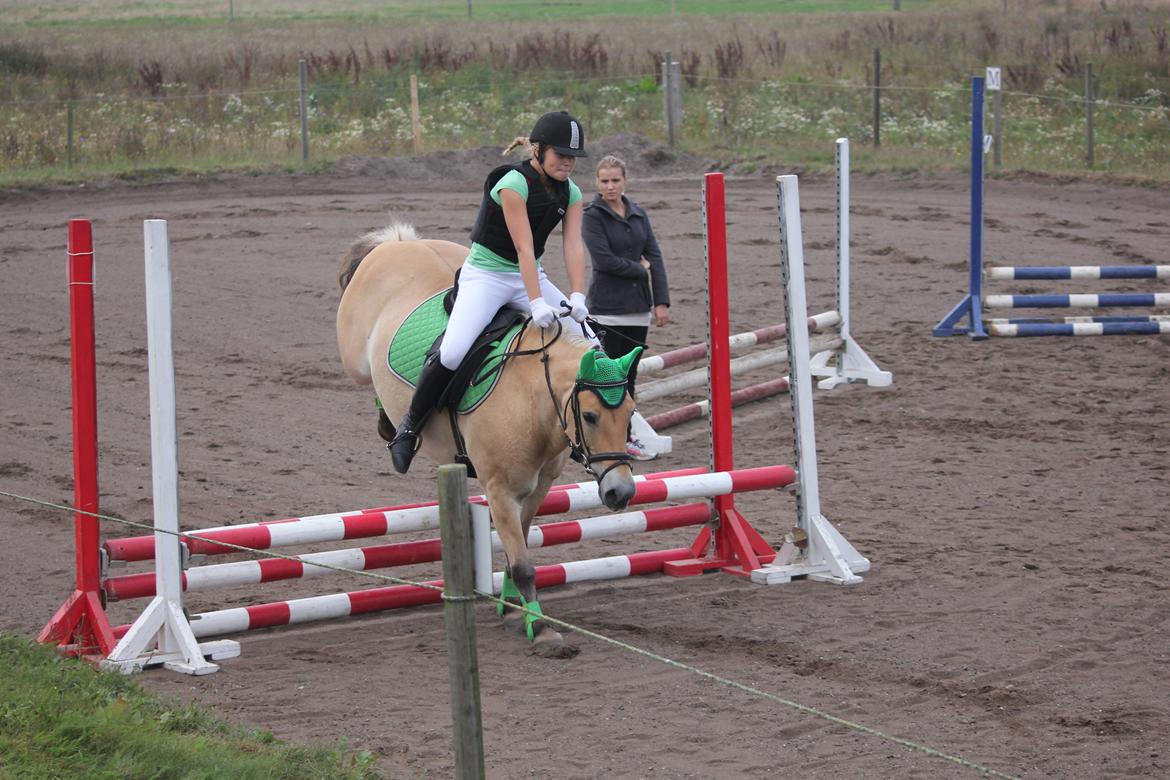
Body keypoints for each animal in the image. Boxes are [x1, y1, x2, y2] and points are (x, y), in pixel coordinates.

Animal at [334, 225, 645, 659]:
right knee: (379, 379)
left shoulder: (538, 485)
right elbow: (523, 563)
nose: (621, 493)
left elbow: (521, 546)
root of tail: (397, 244)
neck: (531, 400)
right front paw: (542, 629)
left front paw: (514, 611)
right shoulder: (498, 490)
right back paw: (396, 433)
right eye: (590, 416)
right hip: (356, 361)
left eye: (630, 412)